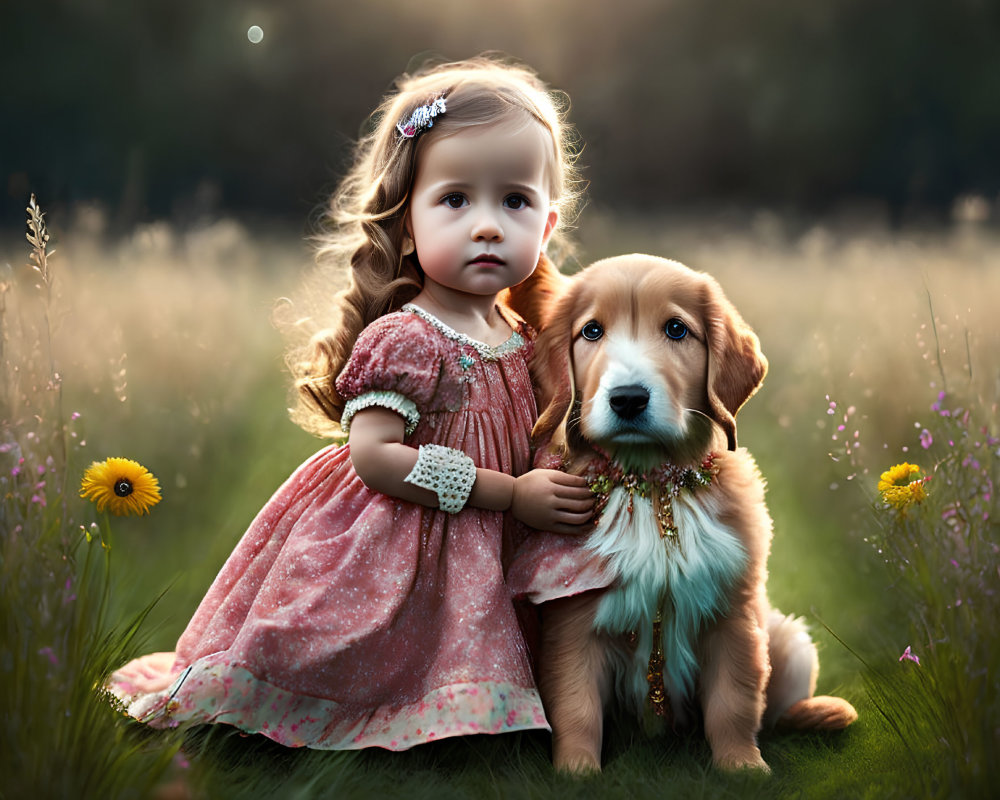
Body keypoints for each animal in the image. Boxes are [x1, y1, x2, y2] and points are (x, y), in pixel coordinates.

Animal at [520, 253, 856, 772]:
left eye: (676, 330)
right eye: (592, 331)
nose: (628, 399)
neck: (653, 483)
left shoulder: (733, 616)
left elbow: (735, 702)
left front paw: (743, 768)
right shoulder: (572, 624)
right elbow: (577, 706)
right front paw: (576, 771)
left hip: (787, 636)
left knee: (779, 707)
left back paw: (823, 712)